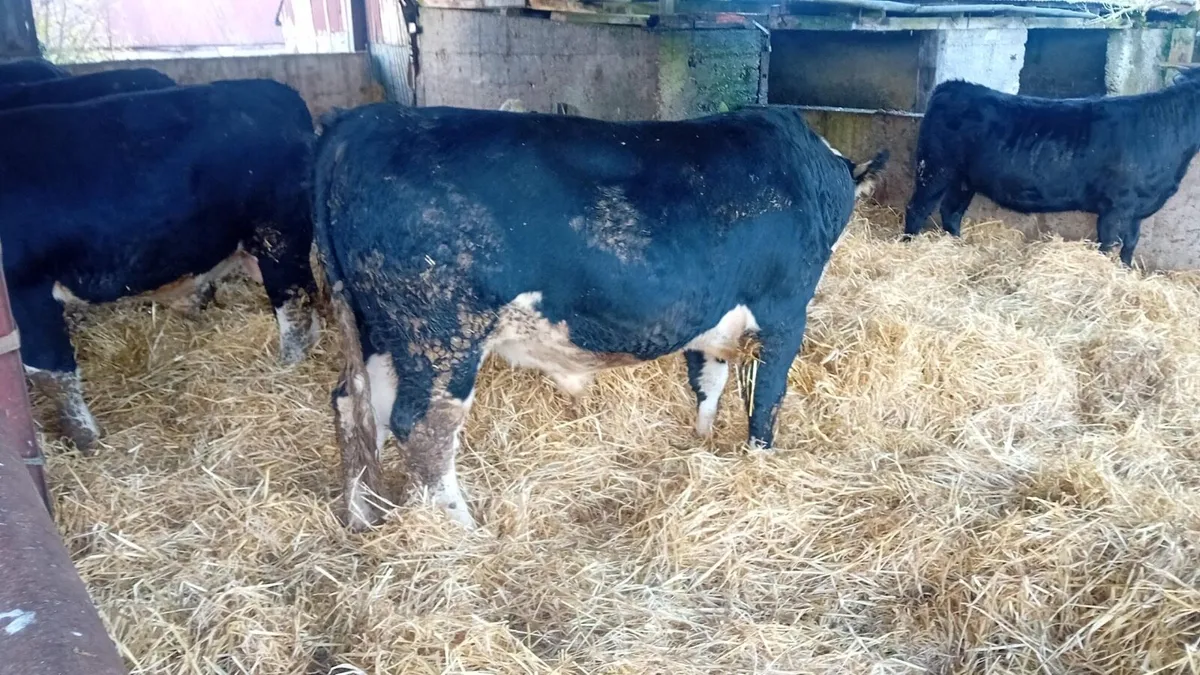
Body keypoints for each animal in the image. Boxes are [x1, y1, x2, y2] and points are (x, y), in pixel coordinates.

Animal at [0, 79, 320, 453]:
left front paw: (86, 441)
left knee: (294, 304)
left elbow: (51, 372)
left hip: (278, 238)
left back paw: (288, 364)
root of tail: (279, 91)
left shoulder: (26, 288)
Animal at [313, 103, 887, 530]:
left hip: (376, 329)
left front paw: (701, 442)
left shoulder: (709, 315)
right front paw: (760, 460)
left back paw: (362, 512)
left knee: (355, 406)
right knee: (421, 426)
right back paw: (461, 529)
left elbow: (709, 381)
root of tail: (362, 122)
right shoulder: (786, 310)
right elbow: (766, 398)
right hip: (440, 332)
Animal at [903, 69, 1200, 266]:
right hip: (934, 170)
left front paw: (1125, 273)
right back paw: (907, 246)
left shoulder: (1136, 210)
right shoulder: (1116, 207)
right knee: (917, 209)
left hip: (963, 180)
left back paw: (957, 246)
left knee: (951, 212)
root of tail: (953, 87)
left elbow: (1130, 245)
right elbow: (1108, 245)